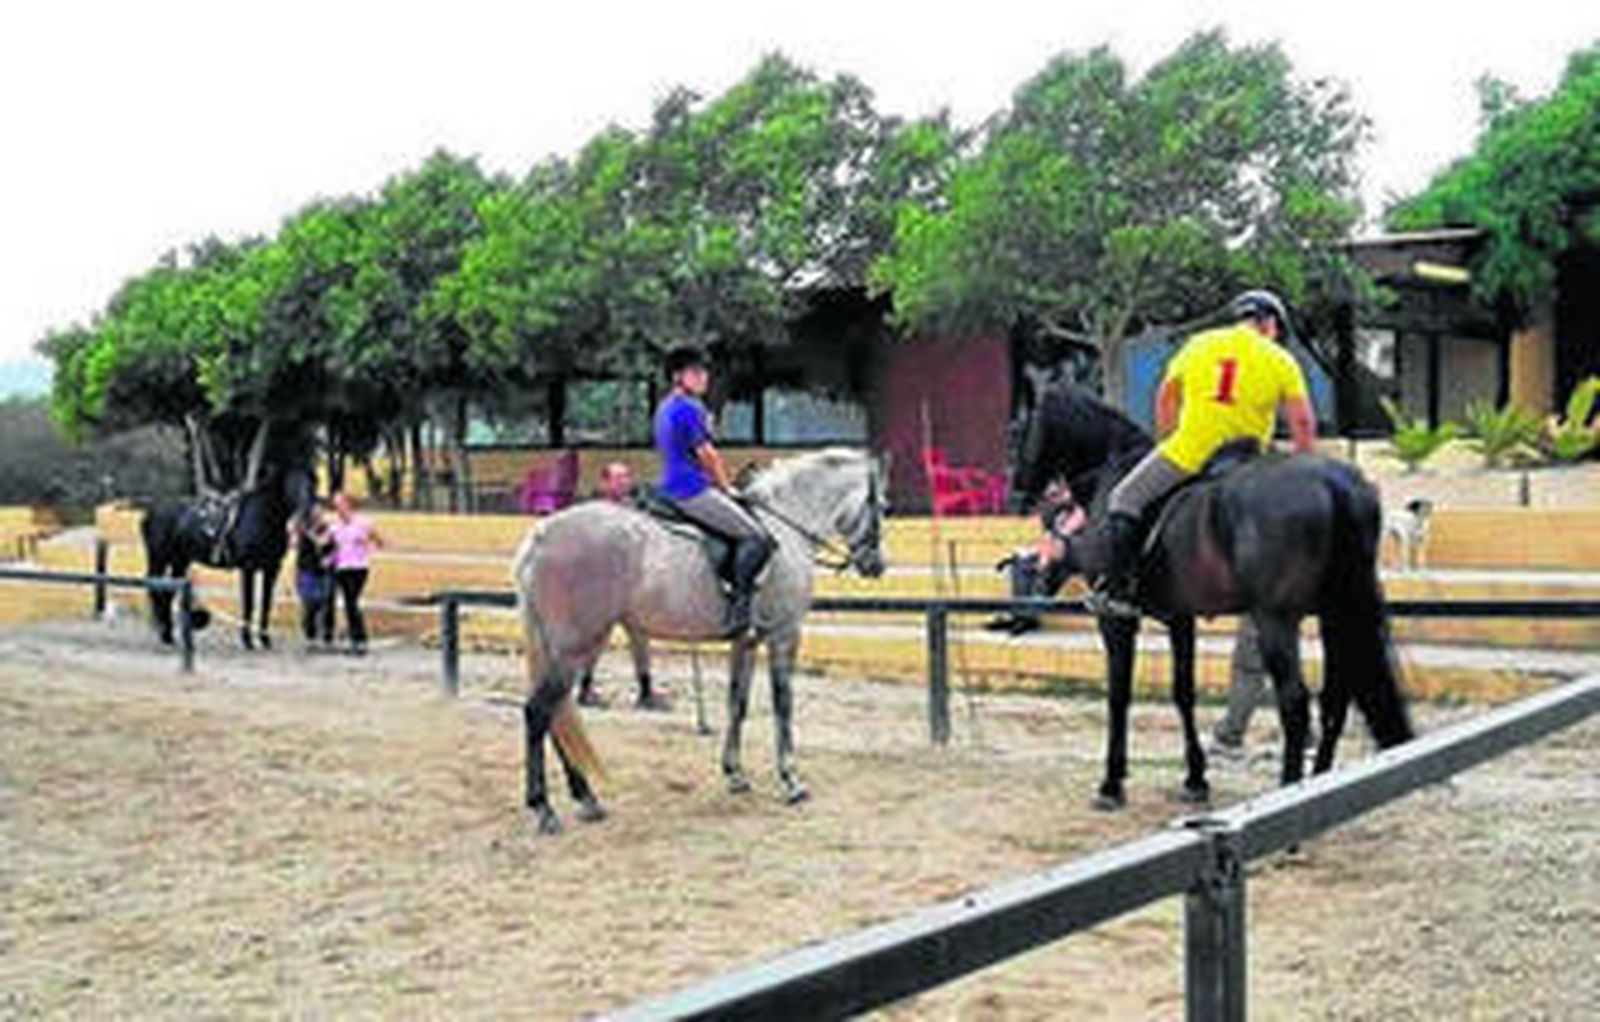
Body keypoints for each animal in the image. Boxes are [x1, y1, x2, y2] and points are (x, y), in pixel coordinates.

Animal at [510, 448, 887, 835]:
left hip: (563, 648)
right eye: (882, 506)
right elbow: (783, 705)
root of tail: (541, 535)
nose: (876, 565)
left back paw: (585, 797)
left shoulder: (745, 642)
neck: (785, 523)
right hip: (574, 647)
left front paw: (735, 774)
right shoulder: (784, 634)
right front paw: (791, 780)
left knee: (556, 714)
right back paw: (544, 808)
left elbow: (738, 702)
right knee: (539, 712)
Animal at [1011, 380, 1414, 809]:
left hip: (1276, 620)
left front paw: (1111, 783)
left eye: (1019, 431)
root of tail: (1334, 485)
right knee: (1334, 699)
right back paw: (1321, 784)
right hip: (1335, 613)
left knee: (1295, 702)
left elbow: (1119, 695)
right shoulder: (1179, 618)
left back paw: (1290, 789)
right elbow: (1183, 692)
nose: (1019, 495)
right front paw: (1195, 778)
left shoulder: (1115, 620)